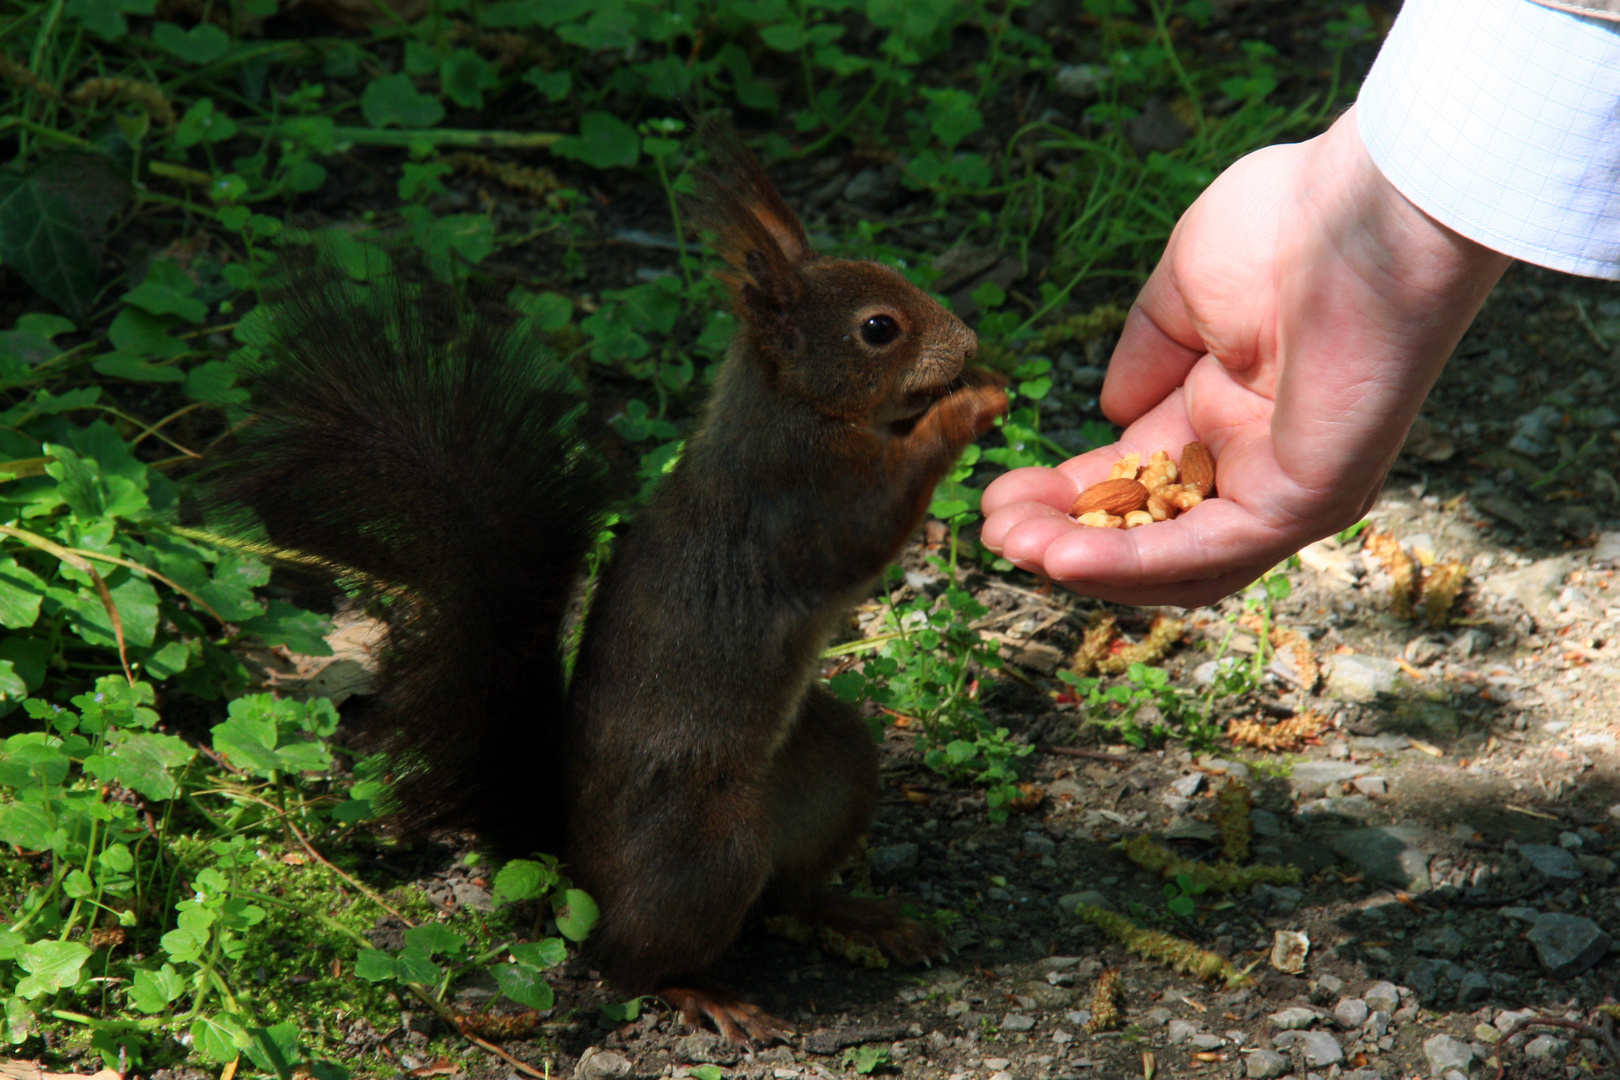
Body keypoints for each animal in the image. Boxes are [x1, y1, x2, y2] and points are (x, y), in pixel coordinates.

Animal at [207, 128, 1004, 1049]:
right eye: (879, 329)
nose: (971, 343)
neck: (794, 410)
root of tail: (580, 863)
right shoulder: (802, 497)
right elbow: (873, 522)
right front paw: (967, 408)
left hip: (833, 765)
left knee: (789, 900)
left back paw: (864, 917)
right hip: (706, 849)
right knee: (629, 962)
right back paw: (705, 993)